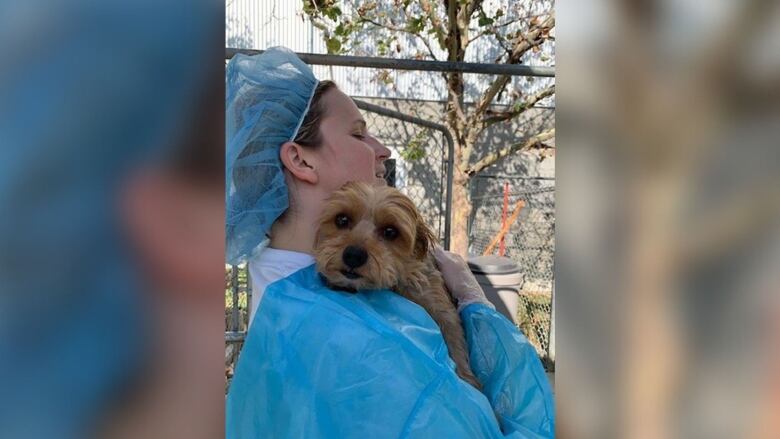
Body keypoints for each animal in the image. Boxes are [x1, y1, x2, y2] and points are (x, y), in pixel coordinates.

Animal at [314, 181, 478, 388]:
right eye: (342, 220)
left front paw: (468, 379)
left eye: (390, 232)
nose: (353, 255)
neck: (393, 282)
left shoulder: (442, 309)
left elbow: (455, 341)